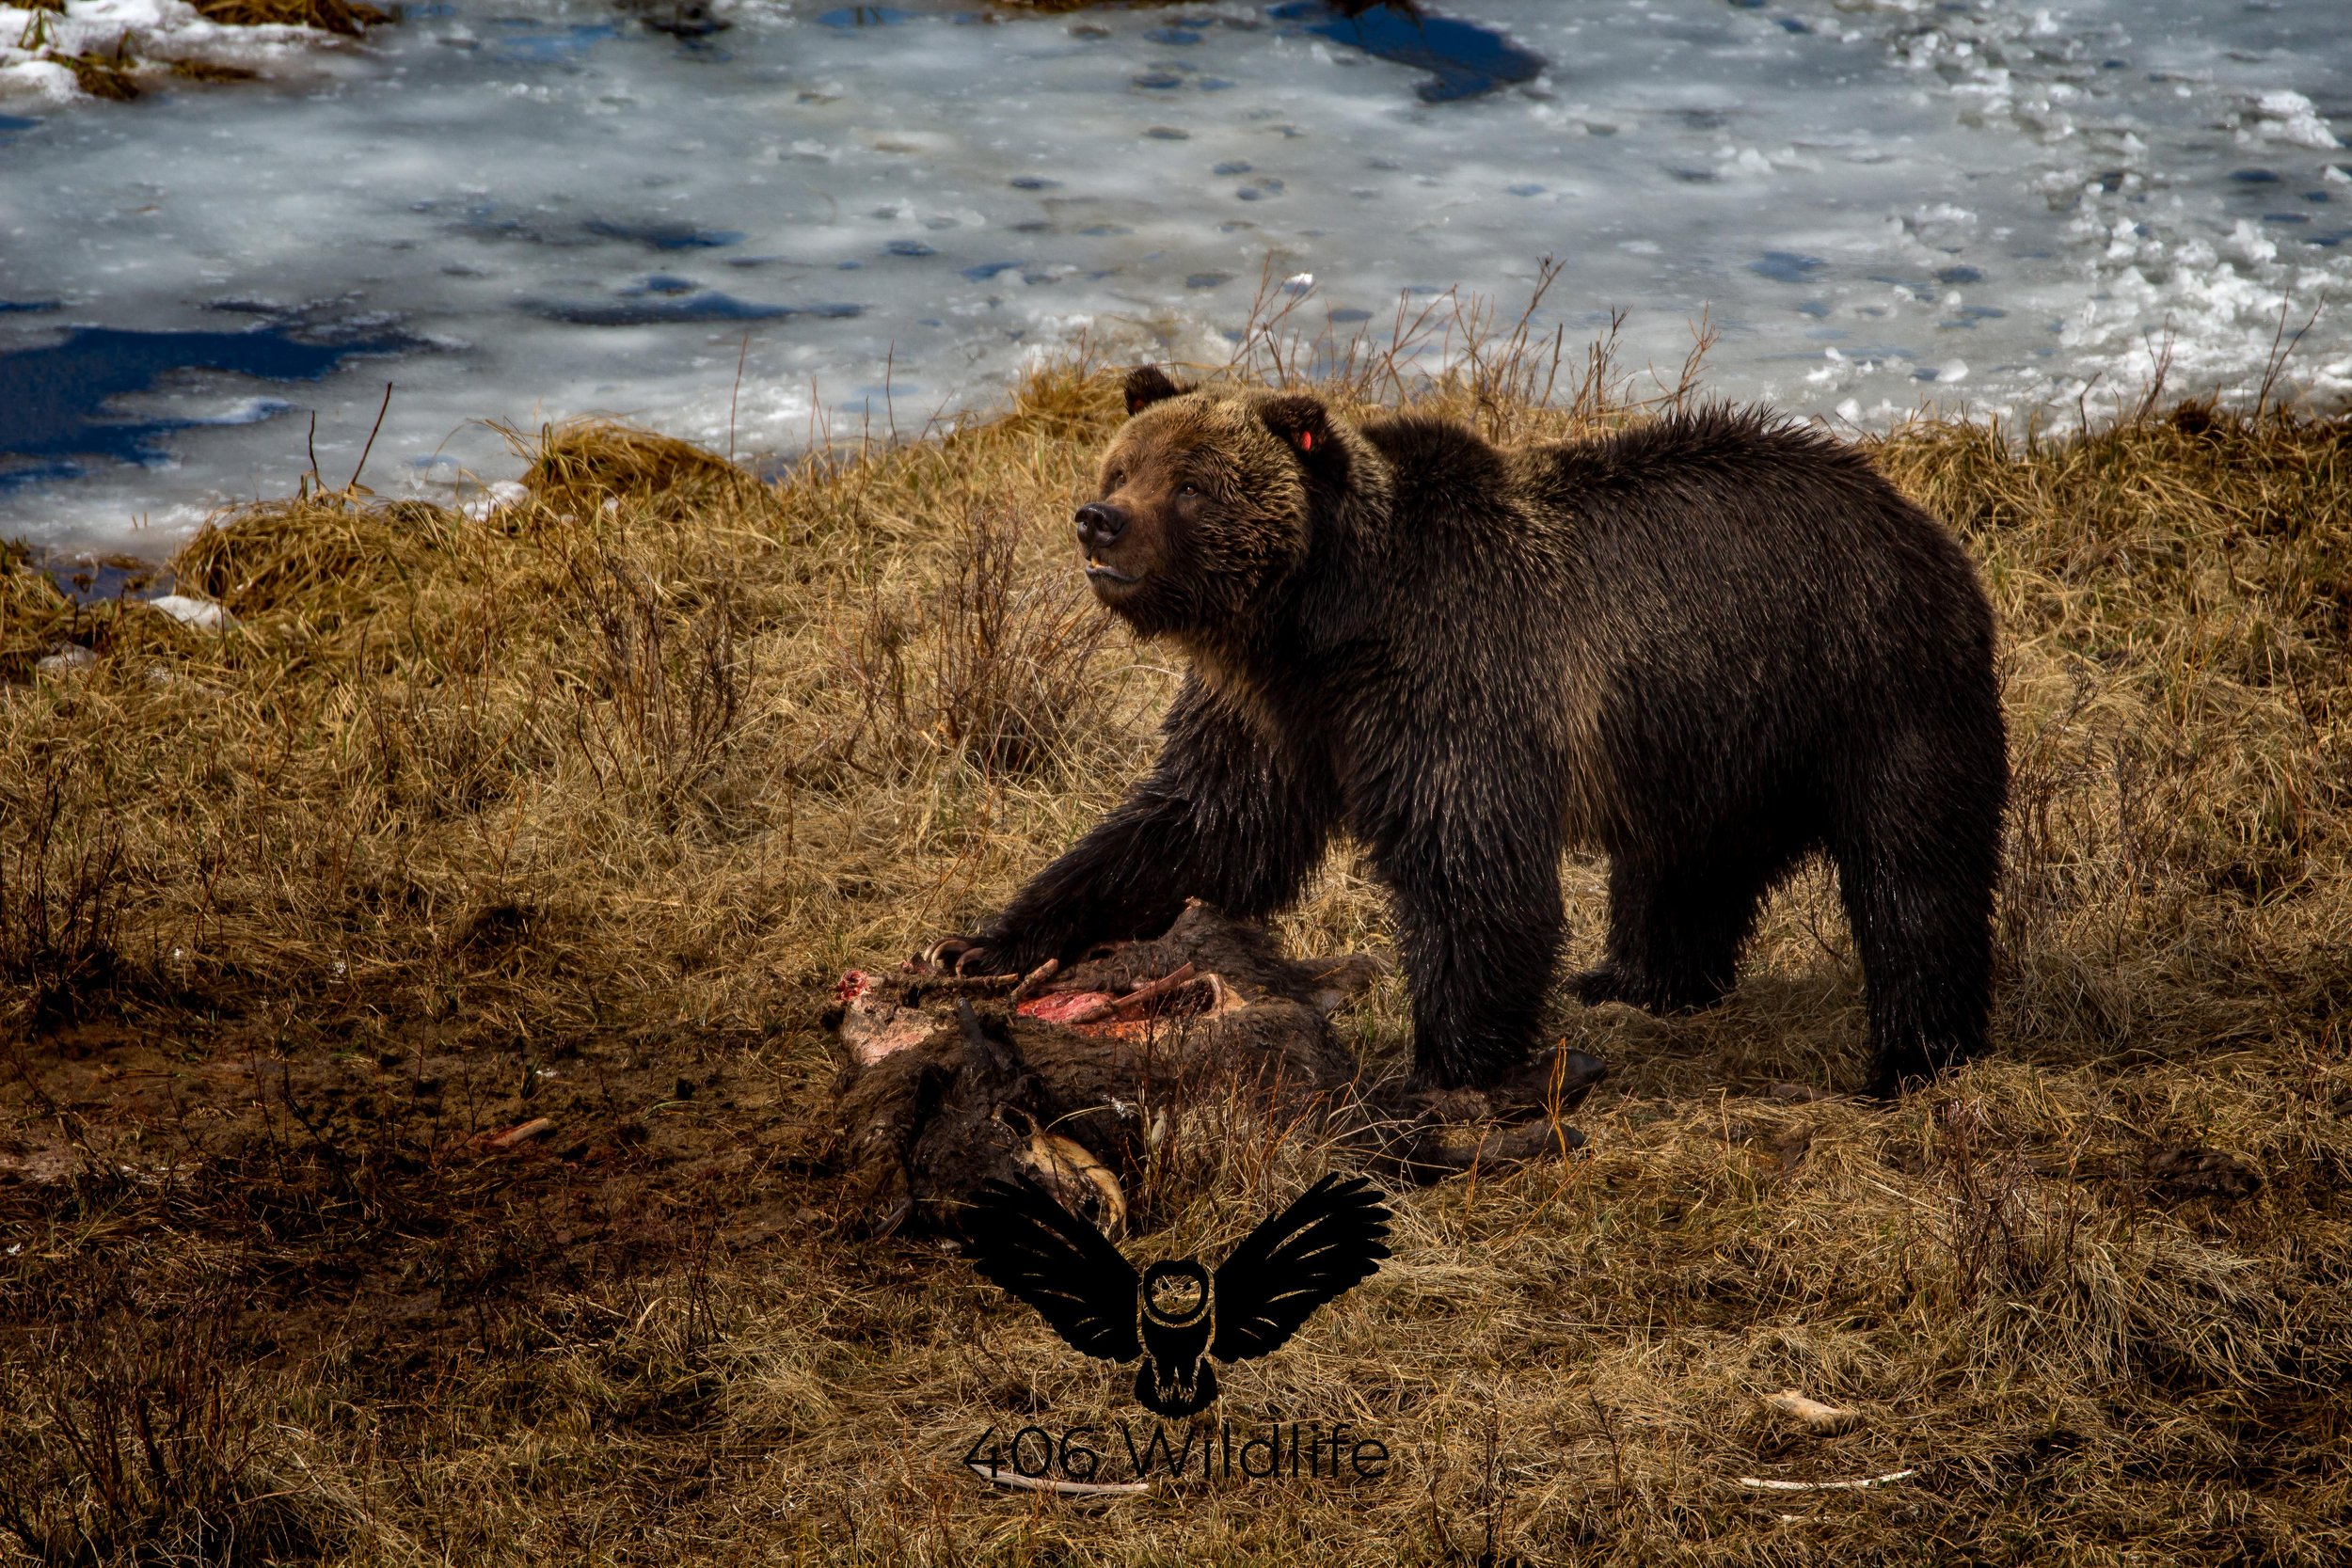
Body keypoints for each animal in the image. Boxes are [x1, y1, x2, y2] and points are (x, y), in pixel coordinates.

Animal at [930, 366, 2007, 1098]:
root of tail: (1911, 512)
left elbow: (1469, 869)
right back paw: (1634, 978)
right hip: (1705, 730)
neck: (1319, 625)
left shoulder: (1452, 676)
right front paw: (985, 942)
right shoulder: (1276, 715)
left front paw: (1446, 1066)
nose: (1098, 519)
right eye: (1123, 462)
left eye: (1192, 484)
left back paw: (1914, 1053)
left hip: (1868, 684)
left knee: (1914, 873)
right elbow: (1197, 829)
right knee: (1683, 864)